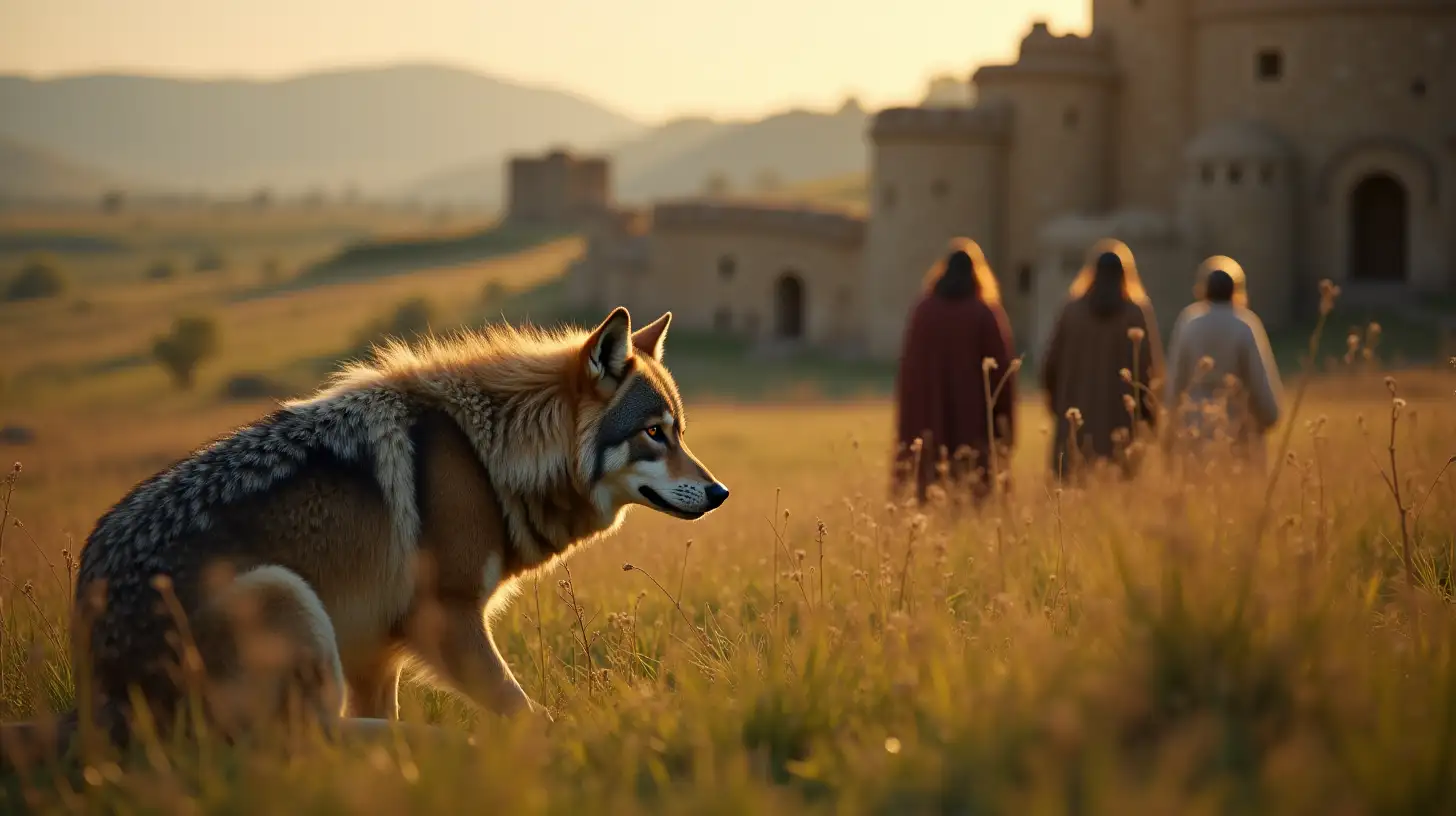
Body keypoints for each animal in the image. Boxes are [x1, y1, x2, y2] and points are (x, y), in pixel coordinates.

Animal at [0, 304, 728, 763]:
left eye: (680, 431)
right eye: (654, 433)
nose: (720, 492)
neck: (485, 457)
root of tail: (96, 698)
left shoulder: (376, 653)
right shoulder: (447, 620)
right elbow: (522, 709)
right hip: (285, 596)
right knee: (306, 744)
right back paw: (451, 745)